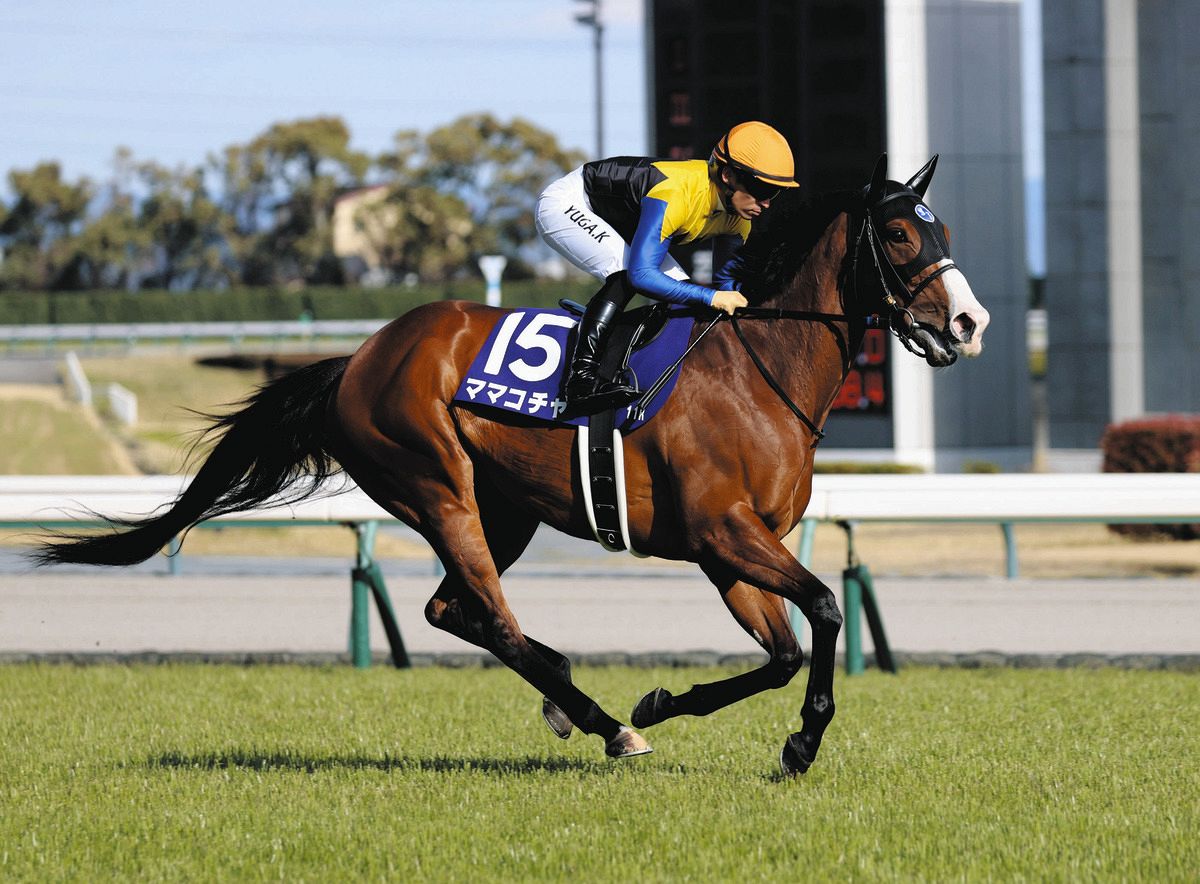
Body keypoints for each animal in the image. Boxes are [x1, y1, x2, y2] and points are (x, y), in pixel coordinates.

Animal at [36, 154, 990, 775]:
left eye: (942, 227)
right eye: (900, 233)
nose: (970, 322)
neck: (758, 370)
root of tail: (359, 357)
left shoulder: (731, 552)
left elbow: (786, 650)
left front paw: (671, 702)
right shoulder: (723, 532)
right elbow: (825, 608)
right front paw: (795, 742)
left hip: (509, 507)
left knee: (451, 607)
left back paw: (577, 700)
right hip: (436, 484)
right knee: (487, 614)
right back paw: (598, 719)